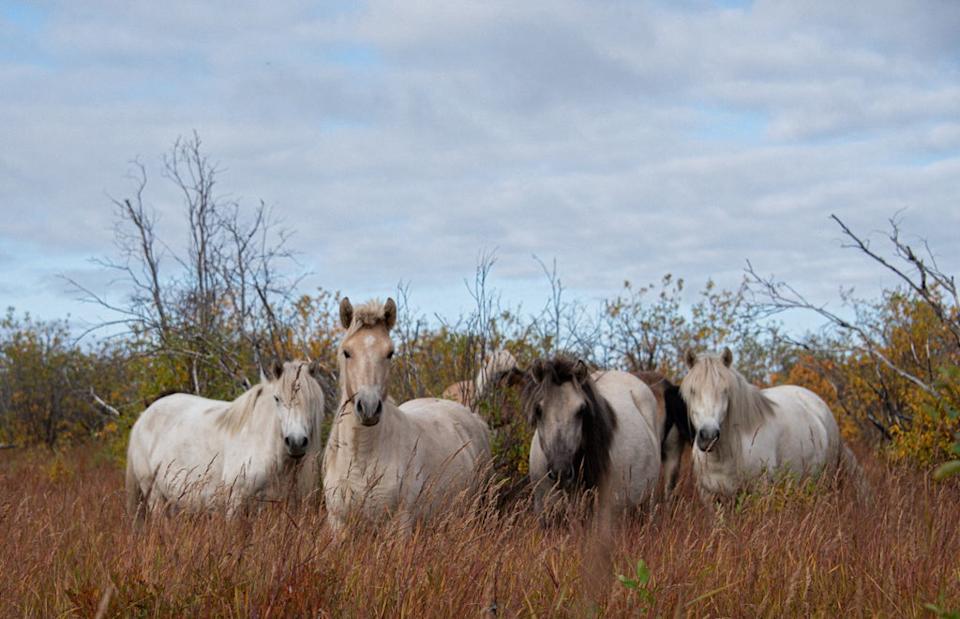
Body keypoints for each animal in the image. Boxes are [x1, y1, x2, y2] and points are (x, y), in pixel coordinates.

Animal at [126, 360, 325, 520]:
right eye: (277, 399)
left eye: (311, 400)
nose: (296, 442)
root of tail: (143, 416)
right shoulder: (235, 503)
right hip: (154, 495)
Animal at [323, 297, 491, 533]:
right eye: (347, 352)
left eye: (389, 353)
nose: (369, 407)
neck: (361, 460)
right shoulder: (338, 524)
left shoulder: (399, 525)